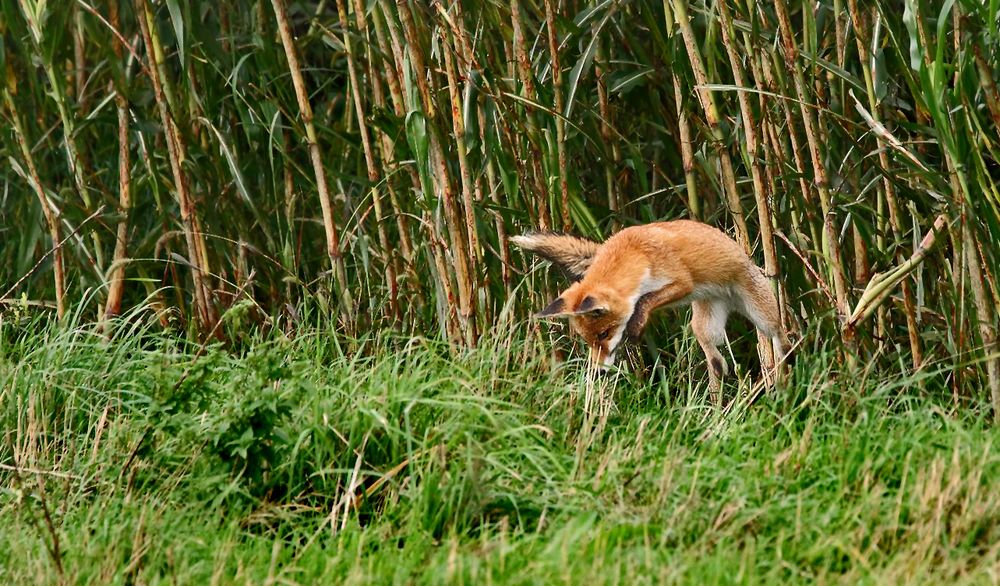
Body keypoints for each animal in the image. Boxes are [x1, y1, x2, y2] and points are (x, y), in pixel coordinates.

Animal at [516, 219, 788, 392]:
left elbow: (645, 301)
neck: (636, 252)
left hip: (762, 314)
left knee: (780, 335)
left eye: (604, 334)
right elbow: (642, 302)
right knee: (716, 359)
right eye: (589, 341)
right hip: (705, 325)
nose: (597, 372)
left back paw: (784, 368)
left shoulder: (683, 283)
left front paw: (636, 326)